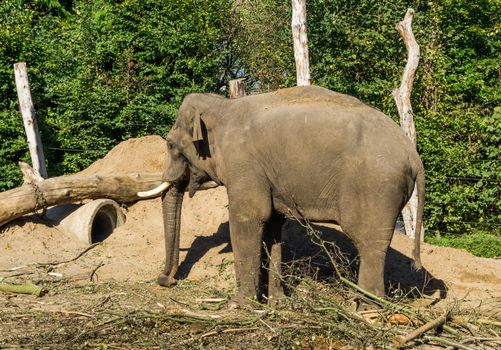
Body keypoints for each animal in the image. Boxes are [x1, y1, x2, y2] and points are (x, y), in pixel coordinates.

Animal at [139, 85, 424, 306]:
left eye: (170, 144)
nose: (166, 280)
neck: (224, 106)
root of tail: (414, 156)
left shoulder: (244, 164)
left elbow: (249, 217)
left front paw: (239, 306)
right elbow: (273, 225)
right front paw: (278, 303)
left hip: (377, 188)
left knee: (370, 244)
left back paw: (365, 309)